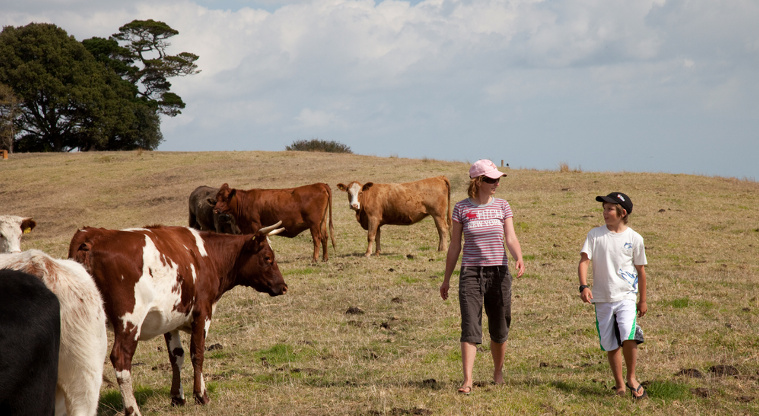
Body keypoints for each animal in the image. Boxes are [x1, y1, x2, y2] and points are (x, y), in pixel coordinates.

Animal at [68, 223, 288, 416]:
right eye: (268, 258)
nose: (284, 286)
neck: (205, 256)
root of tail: (91, 237)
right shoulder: (202, 312)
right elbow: (197, 353)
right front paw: (201, 396)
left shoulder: (170, 319)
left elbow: (177, 356)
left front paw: (178, 397)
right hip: (129, 322)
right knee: (121, 359)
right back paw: (133, 409)